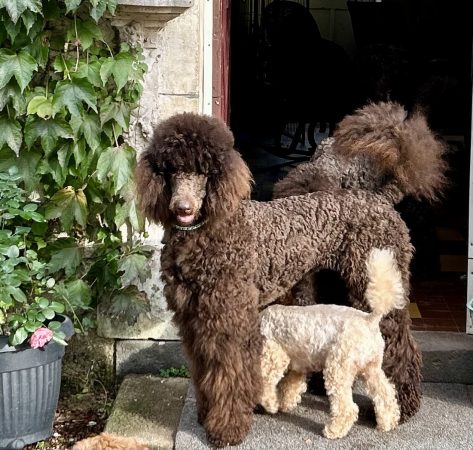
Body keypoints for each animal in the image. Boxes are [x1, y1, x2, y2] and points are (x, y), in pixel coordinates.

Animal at [260, 248, 404, 438]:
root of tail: (369, 320)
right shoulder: (299, 365)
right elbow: (290, 385)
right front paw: (285, 403)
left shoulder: (274, 357)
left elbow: (266, 384)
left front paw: (272, 404)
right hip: (371, 368)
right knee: (385, 395)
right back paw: (387, 422)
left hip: (338, 368)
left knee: (348, 407)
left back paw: (334, 430)